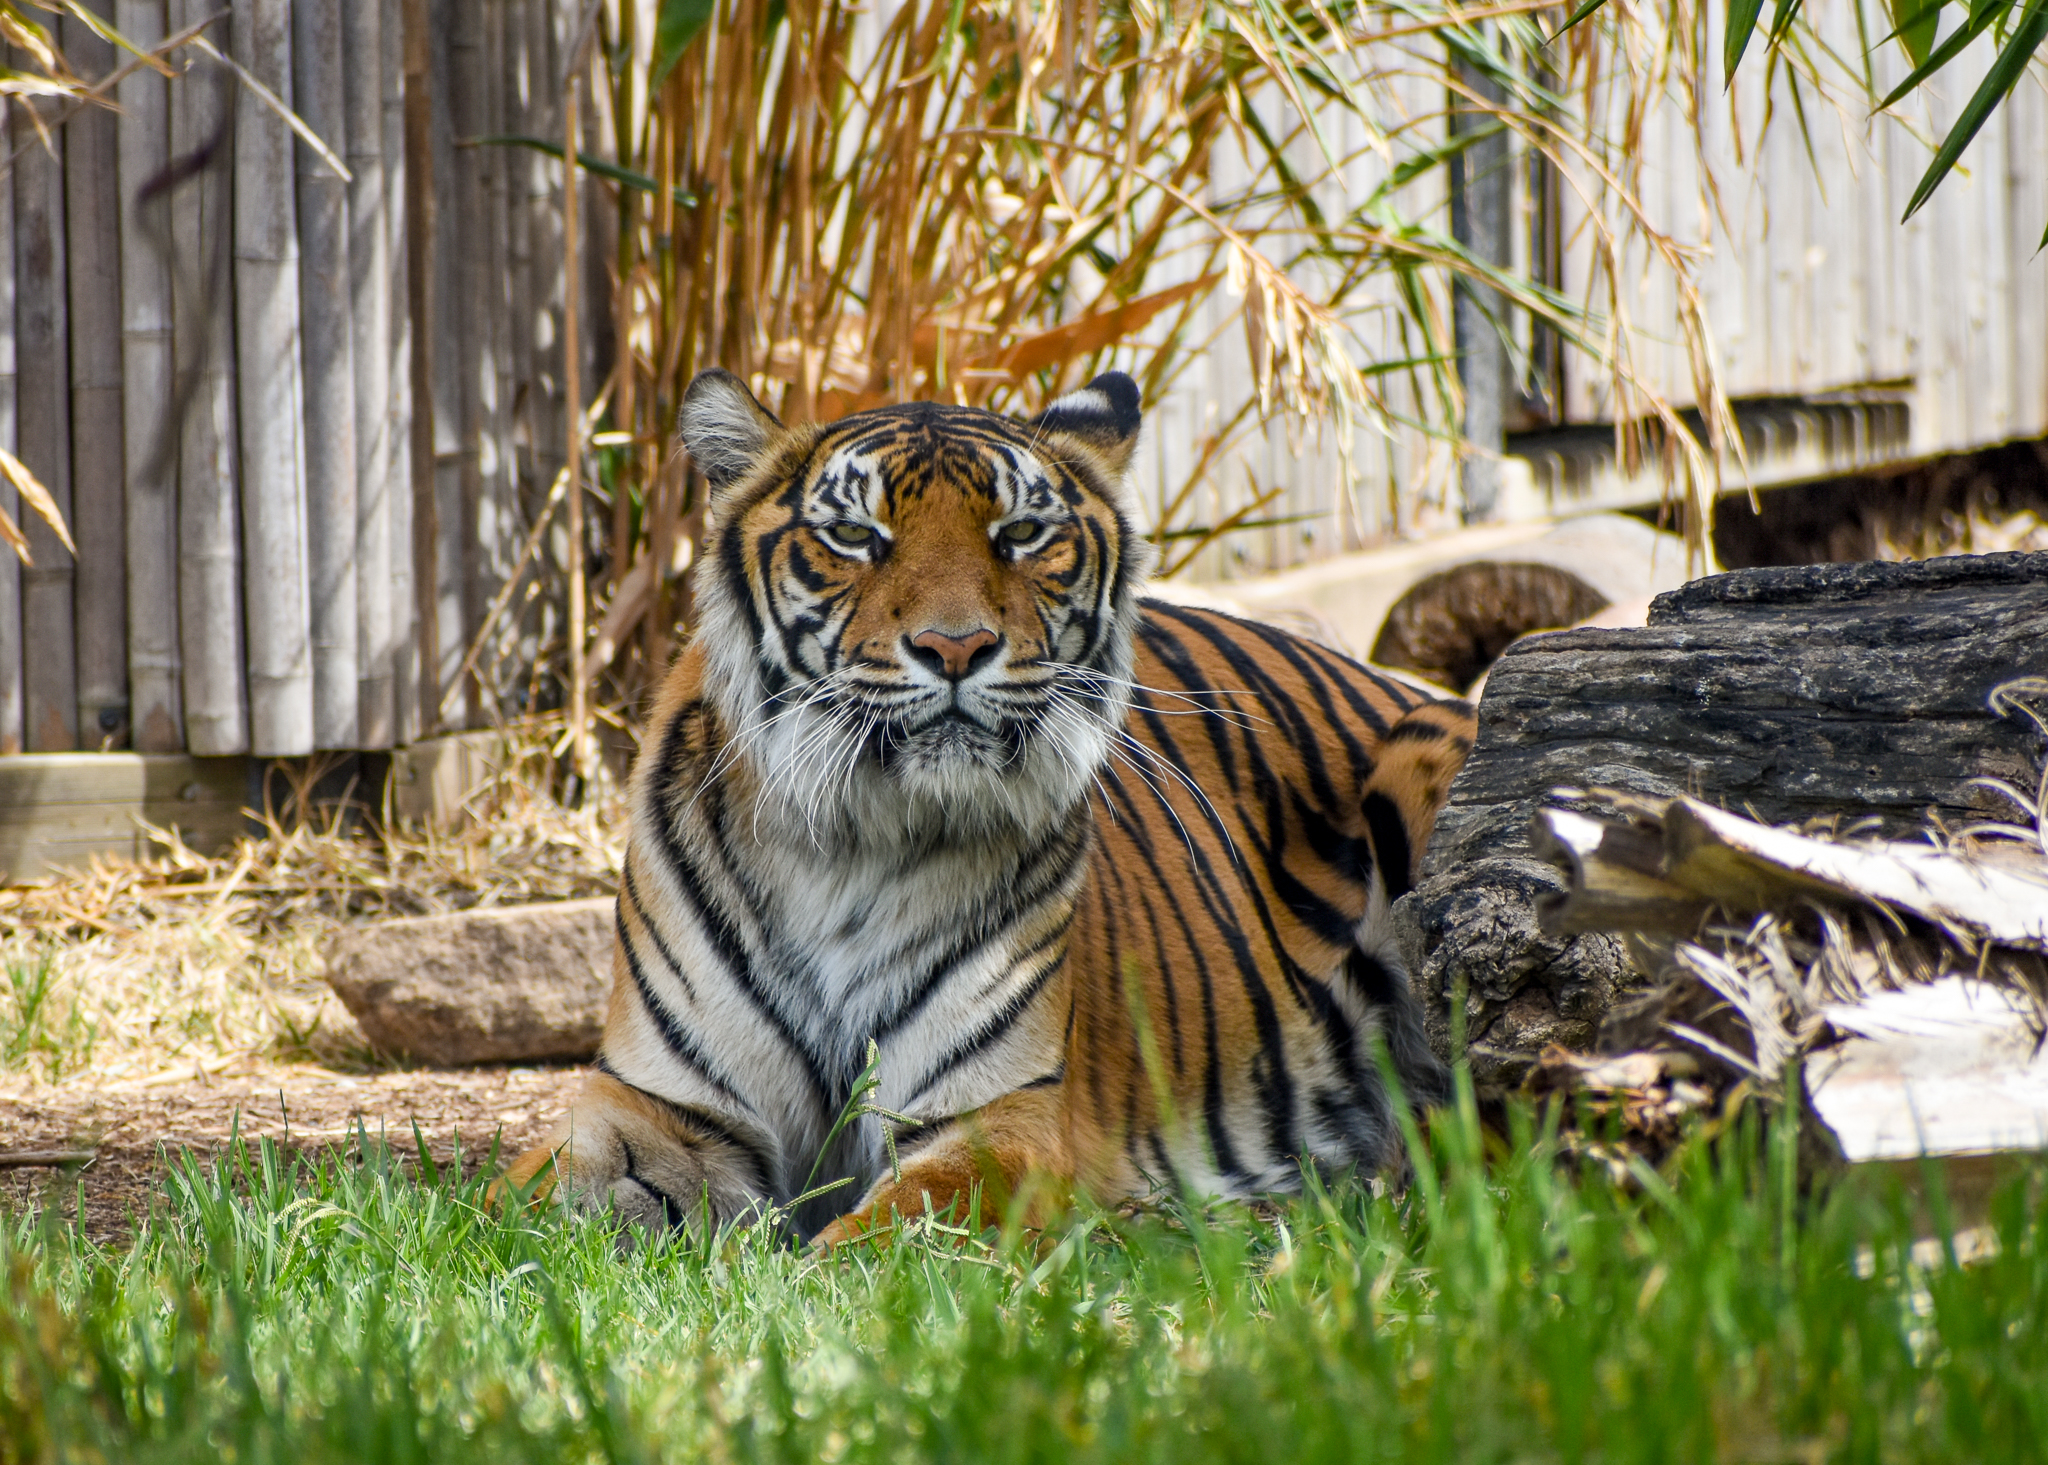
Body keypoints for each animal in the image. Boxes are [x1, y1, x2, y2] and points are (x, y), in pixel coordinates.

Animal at [503, 368, 1476, 1246]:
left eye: (1023, 532)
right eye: (854, 535)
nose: (956, 646)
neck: (850, 844)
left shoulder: (1000, 1117)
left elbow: (884, 1237)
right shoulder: (655, 1101)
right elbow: (522, 1204)